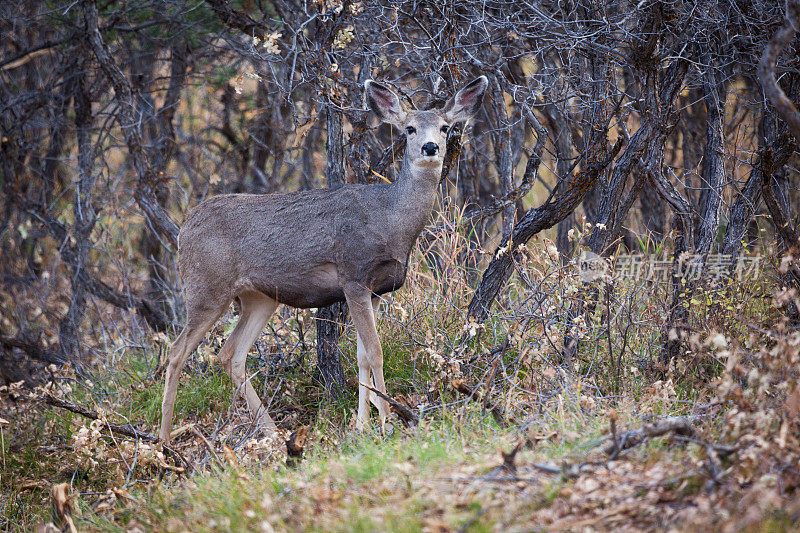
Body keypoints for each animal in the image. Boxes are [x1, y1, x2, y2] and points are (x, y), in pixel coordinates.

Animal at [159, 74, 488, 440]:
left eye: (445, 127)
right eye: (410, 129)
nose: (430, 148)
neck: (392, 221)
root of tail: (183, 229)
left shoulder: (376, 290)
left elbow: (361, 355)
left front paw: (362, 424)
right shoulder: (354, 276)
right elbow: (376, 352)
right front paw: (388, 420)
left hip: (260, 297)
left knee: (230, 353)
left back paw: (272, 432)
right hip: (207, 285)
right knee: (176, 352)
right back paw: (164, 438)